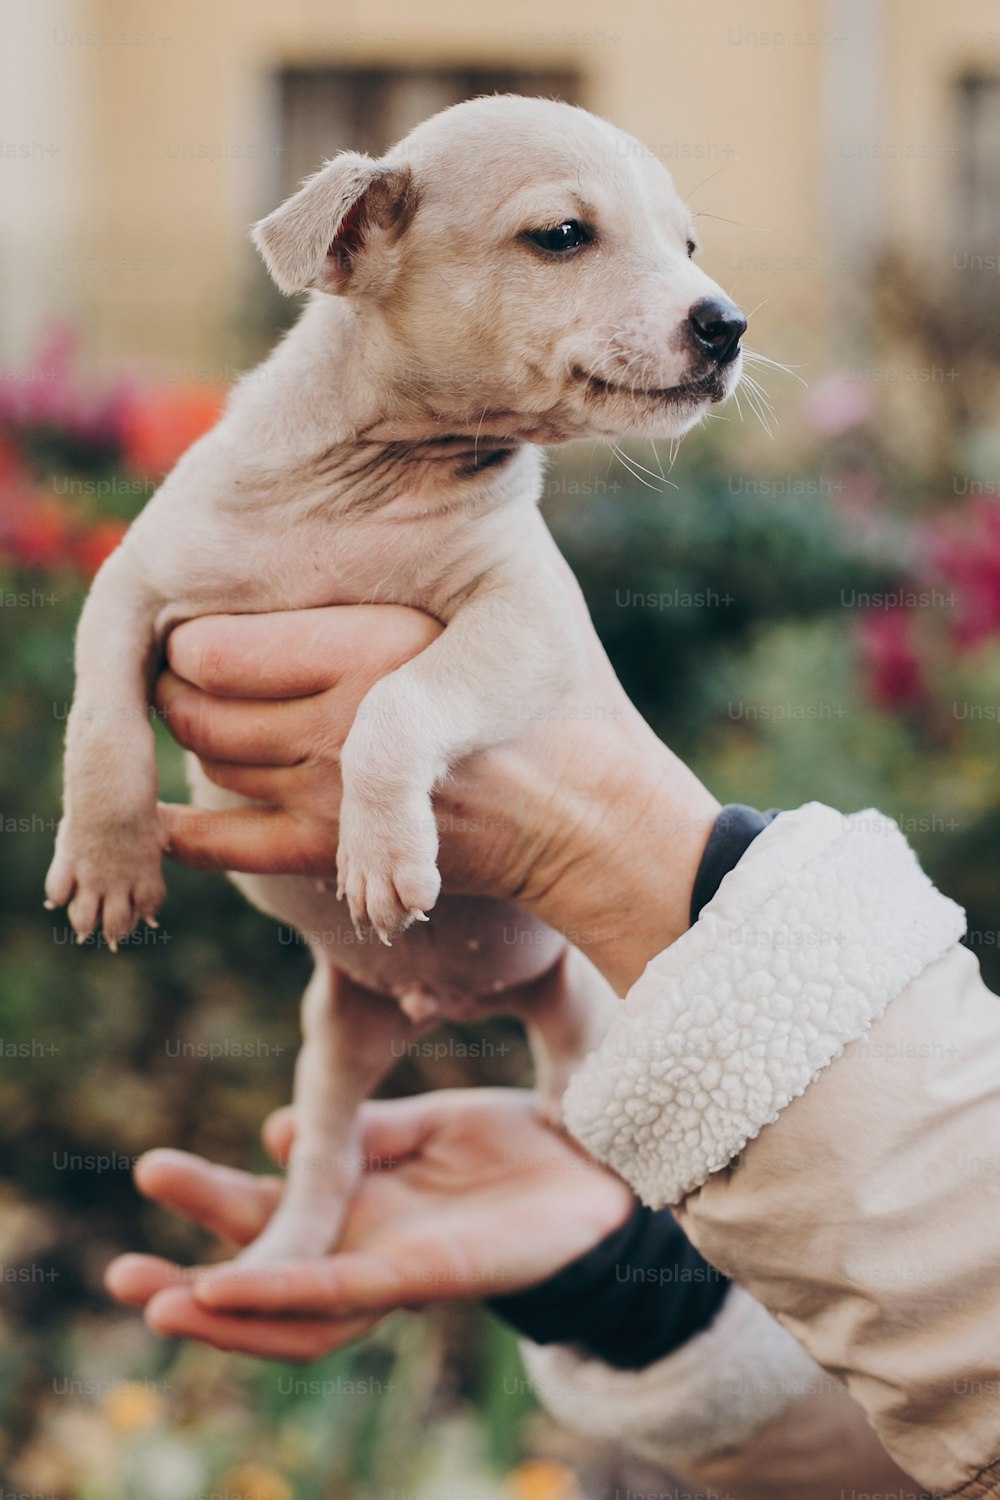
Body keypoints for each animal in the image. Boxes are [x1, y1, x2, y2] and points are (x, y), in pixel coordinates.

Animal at [46, 93, 743, 1260]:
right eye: (563, 235)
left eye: (688, 245)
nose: (727, 323)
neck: (371, 476)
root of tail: (444, 1007)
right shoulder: (131, 587)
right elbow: (101, 723)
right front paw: (108, 860)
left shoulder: (525, 621)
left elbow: (394, 700)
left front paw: (381, 850)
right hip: (334, 1035)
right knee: (329, 1157)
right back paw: (285, 1252)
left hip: (580, 994)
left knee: (572, 1072)